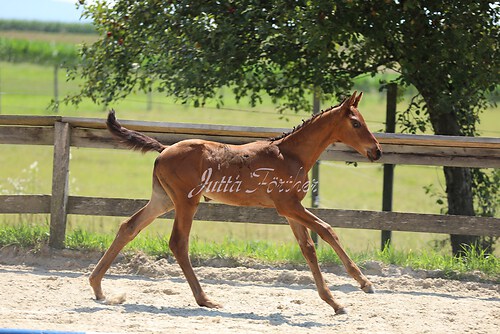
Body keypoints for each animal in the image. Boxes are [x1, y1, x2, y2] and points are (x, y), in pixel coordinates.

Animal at [88, 90, 380, 314]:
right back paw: (205, 300)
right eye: (356, 124)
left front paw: (334, 302)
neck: (290, 154)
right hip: (186, 202)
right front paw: (364, 283)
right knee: (178, 242)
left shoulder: (291, 210)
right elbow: (327, 230)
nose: (376, 151)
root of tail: (164, 149)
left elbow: (308, 248)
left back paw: (97, 287)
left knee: (129, 227)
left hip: (163, 200)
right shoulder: (288, 206)